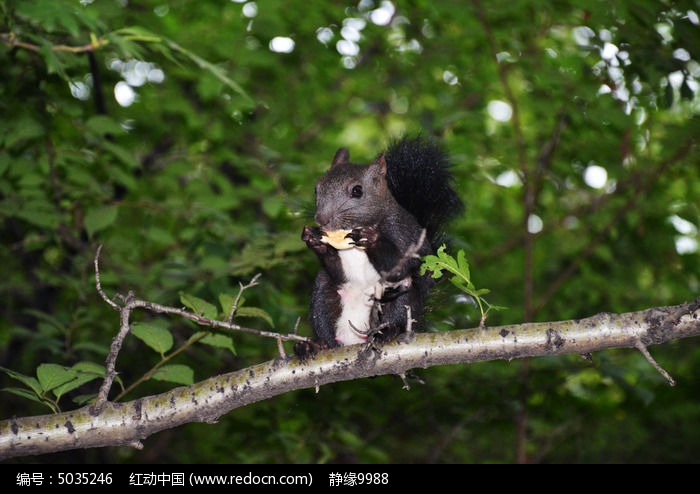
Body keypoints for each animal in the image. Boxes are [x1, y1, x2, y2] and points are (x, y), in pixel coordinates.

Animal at [292, 135, 462, 358]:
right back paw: (316, 345)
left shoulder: (403, 233)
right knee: (326, 325)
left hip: (403, 300)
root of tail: (353, 340)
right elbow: (337, 270)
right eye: (316, 189)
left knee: (400, 306)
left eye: (357, 191)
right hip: (323, 295)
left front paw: (371, 238)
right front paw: (313, 239)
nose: (321, 220)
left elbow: (401, 267)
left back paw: (388, 331)